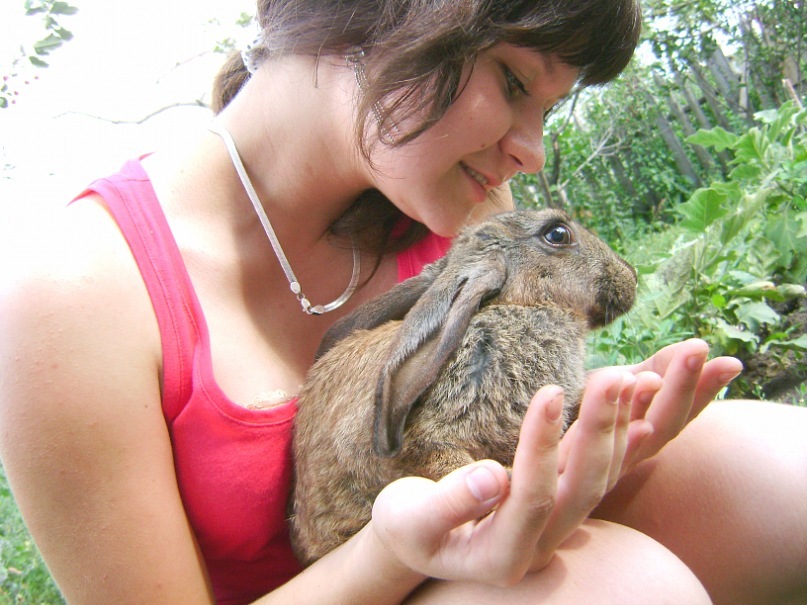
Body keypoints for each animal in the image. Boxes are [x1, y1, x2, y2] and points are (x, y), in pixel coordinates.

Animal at [289, 208, 637, 566]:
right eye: (557, 234)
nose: (632, 276)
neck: (521, 306)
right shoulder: (427, 437)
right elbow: (440, 458)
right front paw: (505, 477)